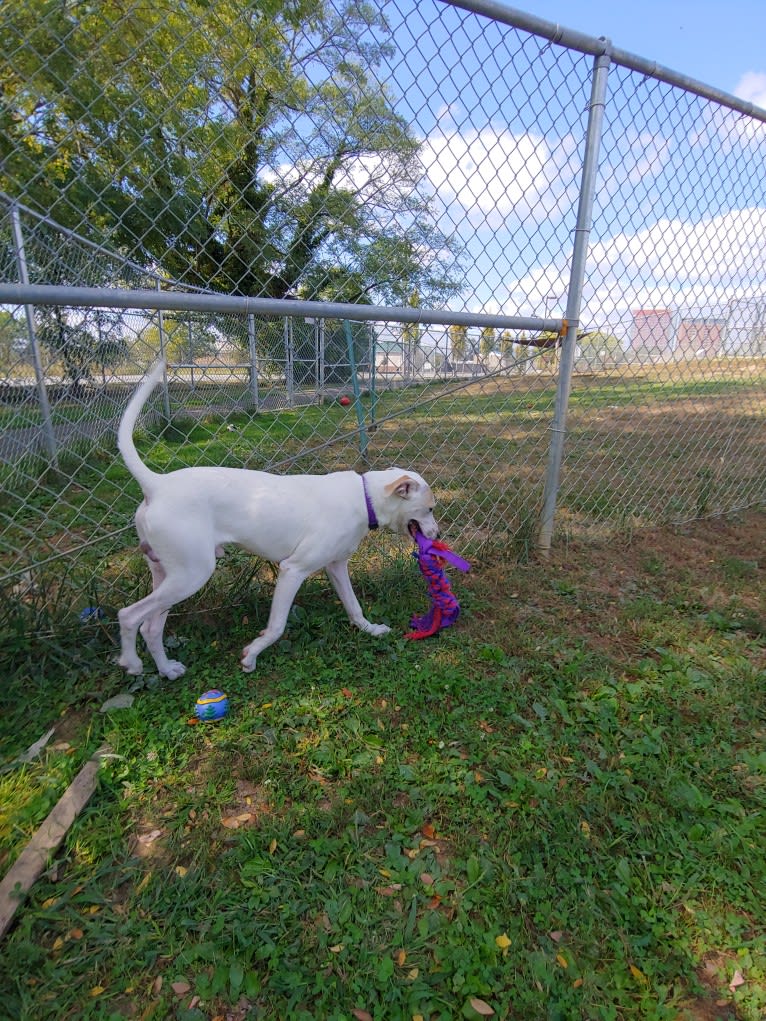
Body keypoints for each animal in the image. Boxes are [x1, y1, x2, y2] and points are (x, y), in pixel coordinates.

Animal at [113, 359, 437, 677]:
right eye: (431, 508)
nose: (437, 535)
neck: (363, 497)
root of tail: (157, 485)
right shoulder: (292, 570)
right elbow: (277, 626)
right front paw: (252, 655)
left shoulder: (336, 566)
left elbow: (354, 606)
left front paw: (371, 630)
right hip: (191, 575)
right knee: (128, 616)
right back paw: (132, 663)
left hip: (168, 575)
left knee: (150, 627)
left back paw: (167, 670)